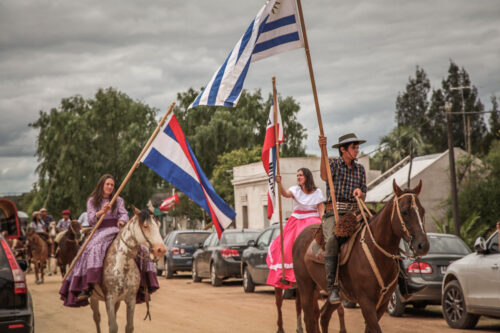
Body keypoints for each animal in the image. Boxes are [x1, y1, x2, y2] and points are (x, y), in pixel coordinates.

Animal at [292, 180, 430, 330]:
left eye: (422, 211)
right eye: (404, 212)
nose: (422, 245)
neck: (377, 252)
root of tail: (300, 237)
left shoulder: (382, 304)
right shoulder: (366, 302)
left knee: (323, 316)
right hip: (306, 287)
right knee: (310, 319)